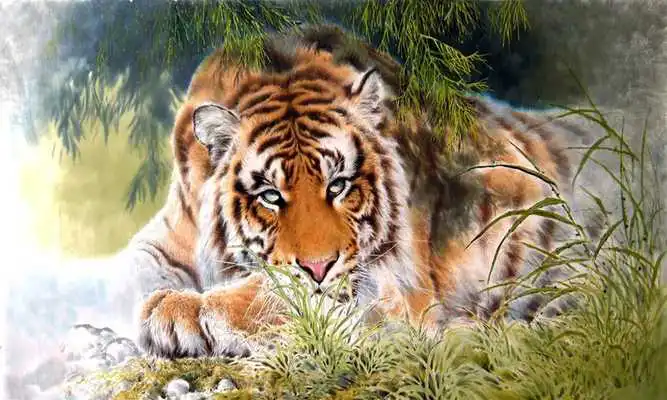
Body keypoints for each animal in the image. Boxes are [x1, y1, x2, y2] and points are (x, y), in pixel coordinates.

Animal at [127, 25, 602, 358]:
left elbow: (279, 291)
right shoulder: (166, 236)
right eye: (270, 196)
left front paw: (179, 310)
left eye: (339, 185)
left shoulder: (389, 285)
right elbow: (136, 273)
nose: (318, 266)